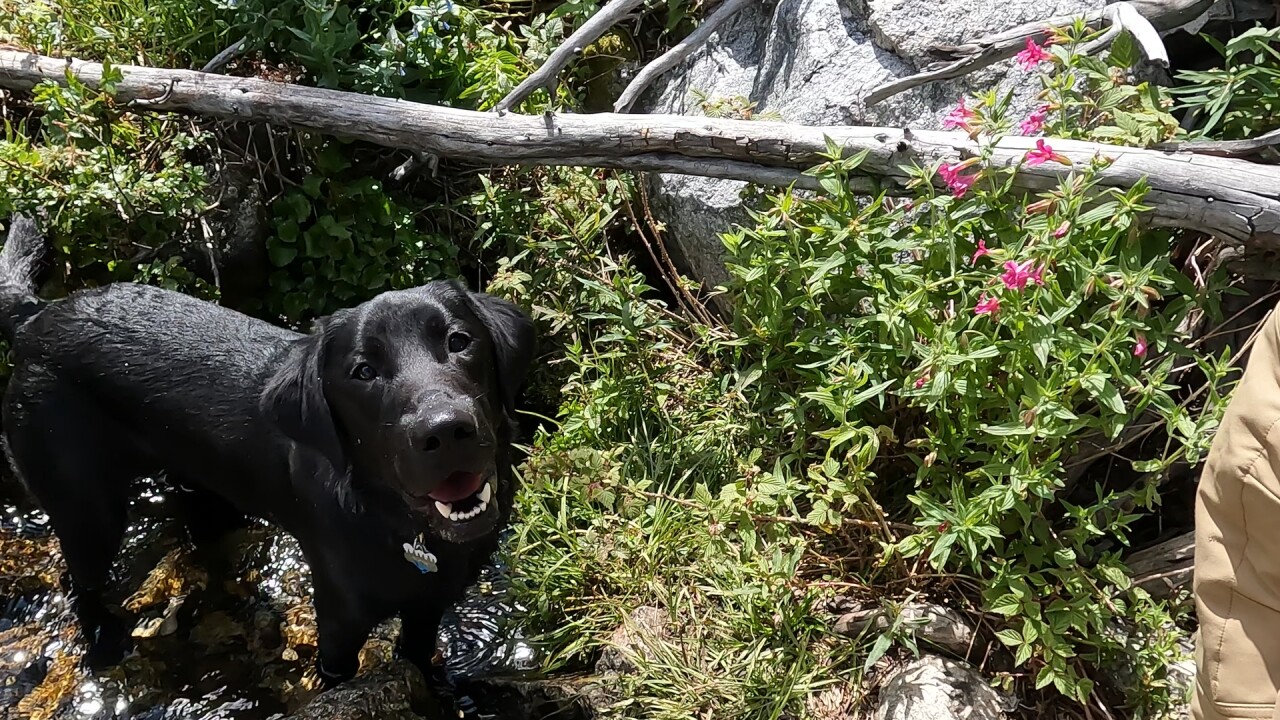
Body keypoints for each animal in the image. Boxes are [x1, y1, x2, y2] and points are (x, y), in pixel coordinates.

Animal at [0, 213, 535, 681]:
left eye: (459, 341)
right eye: (363, 371)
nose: (444, 431)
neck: (402, 529)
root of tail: (35, 318)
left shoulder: (430, 607)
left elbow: (419, 654)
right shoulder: (340, 621)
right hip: (88, 508)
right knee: (79, 580)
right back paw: (106, 641)